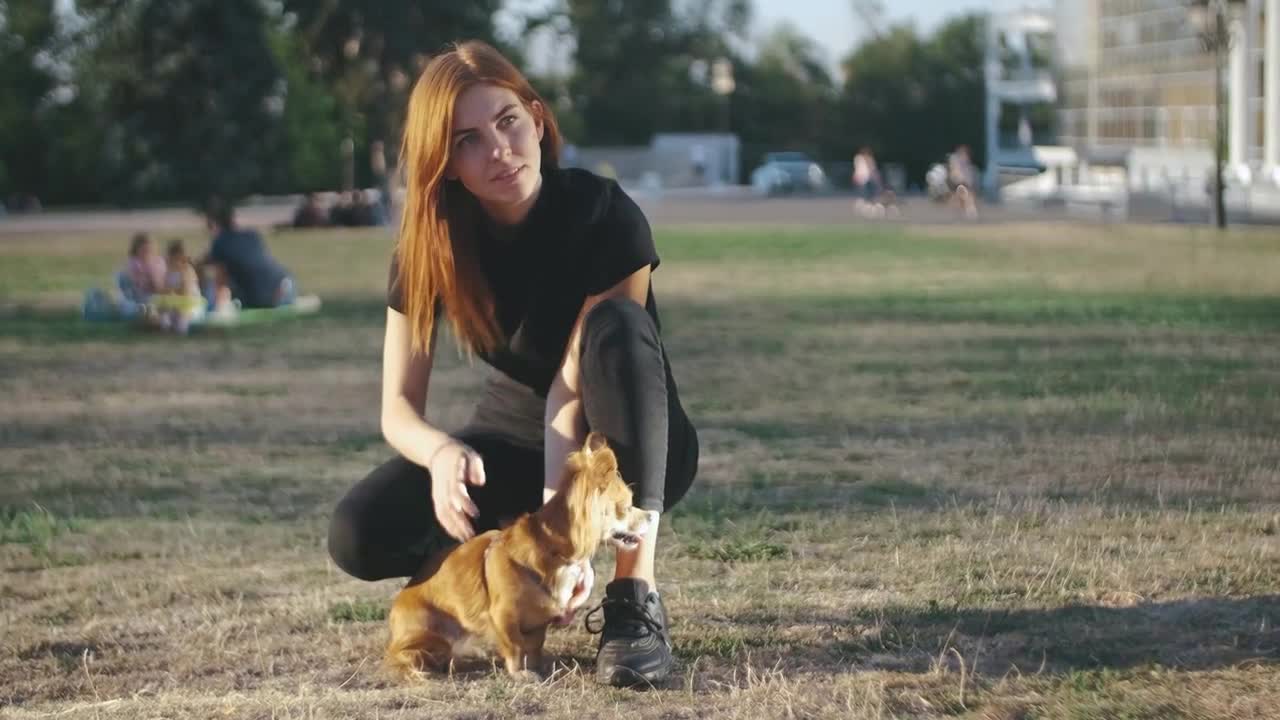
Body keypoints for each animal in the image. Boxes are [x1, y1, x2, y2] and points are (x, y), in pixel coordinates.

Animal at [384, 430, 655, 676]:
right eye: (627, 507)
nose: (653, 515)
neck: (556, 554)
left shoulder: (540, 620)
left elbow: (534, 646)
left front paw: (536, 667)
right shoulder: (503, 616)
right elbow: (514, 646)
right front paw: (521, 673)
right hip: (428, 636)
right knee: (402, 655)